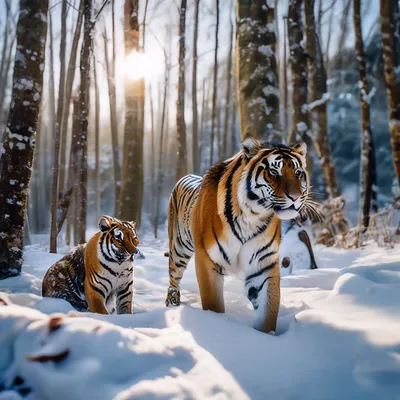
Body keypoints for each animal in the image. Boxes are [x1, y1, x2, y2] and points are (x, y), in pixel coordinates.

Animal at [164, 139, 318, 332]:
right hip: (179, 249)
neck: (251, 216)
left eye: (298, 173)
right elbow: (213, 304)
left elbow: (268, 311)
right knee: (173, 278)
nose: (296, 197)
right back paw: (172, 305)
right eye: (274, 172)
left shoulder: (263, 263)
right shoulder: (207, 258)